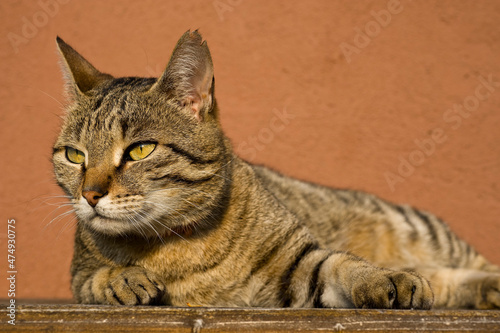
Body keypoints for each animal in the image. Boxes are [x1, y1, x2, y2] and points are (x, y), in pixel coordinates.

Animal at [51, 31, 500, 308]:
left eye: (140, 149)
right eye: (74, 156)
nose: (89, 195)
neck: (178, 243)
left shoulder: (302, 263)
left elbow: (347, 265)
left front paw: (385, 279)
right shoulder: (77, 275)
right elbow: (95, 278)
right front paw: (122, 278)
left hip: (420, 230)